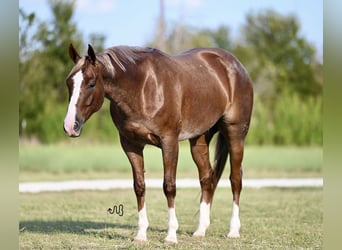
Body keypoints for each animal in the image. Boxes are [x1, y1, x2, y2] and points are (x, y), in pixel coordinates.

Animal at [63, 44, 254, 243]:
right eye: (69, 83)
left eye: (91, 83)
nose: (70, 126)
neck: (142, 87)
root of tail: (235, 65)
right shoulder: (131, 145)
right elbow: (139, 187)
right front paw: (141, 234)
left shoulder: (169, 142)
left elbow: (169, 186)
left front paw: (171, 235)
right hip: (199, 140)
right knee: (207, 178)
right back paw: (200, 229)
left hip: (235, 134)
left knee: (235, 179)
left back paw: (233, 230)